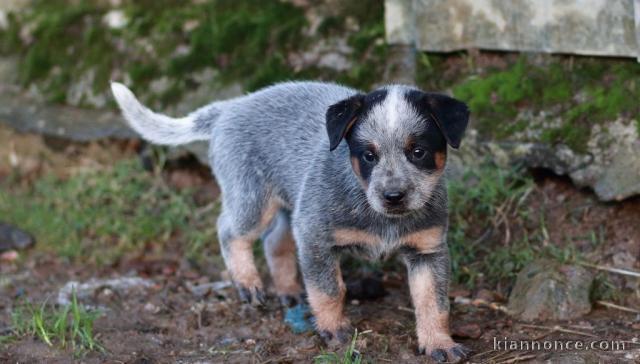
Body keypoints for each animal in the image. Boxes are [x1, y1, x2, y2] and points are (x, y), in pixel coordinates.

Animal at [110, 81, 470, 362]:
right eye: (369, 155)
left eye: (418, 152)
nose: (393, 195)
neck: (380, 215)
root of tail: (231, 107)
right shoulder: (314, 236)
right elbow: (329, 290)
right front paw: (335, 331)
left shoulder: (428, 251)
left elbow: (433, 302)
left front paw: (439, 343)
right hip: (254, 200)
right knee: (228, 230)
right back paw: (248, 283)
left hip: (288, 209)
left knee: (274, 243)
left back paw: (289, 291)